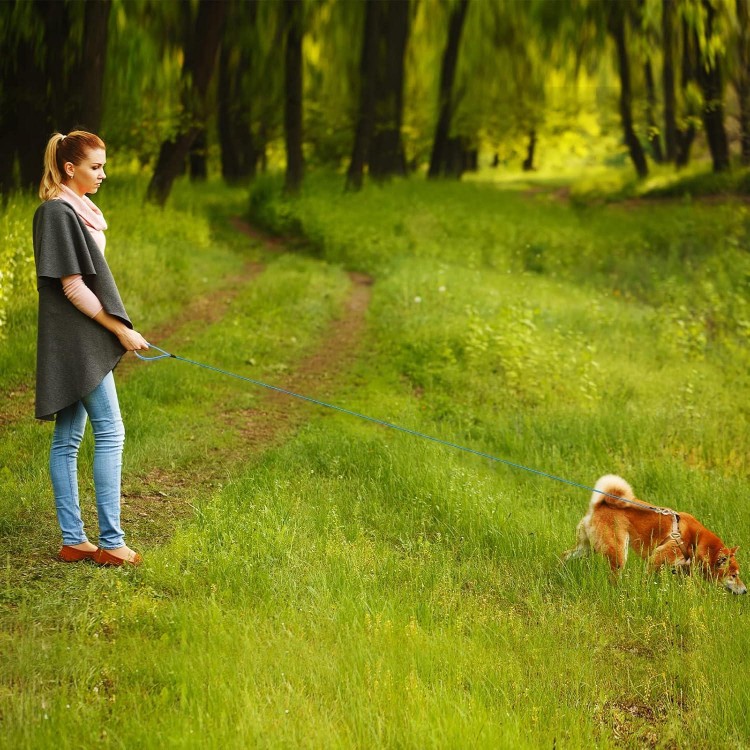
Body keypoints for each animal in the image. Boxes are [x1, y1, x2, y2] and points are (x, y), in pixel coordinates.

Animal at [564, 476, 748, 592]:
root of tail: (599, 504)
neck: (697, 542)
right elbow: (647, 579)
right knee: (614, 576)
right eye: (734, 575)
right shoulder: (657, 558)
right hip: (618, 553)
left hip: (586, 548)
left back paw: (561, 570)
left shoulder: (683, 570)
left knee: (565, 555)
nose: (746, 591)